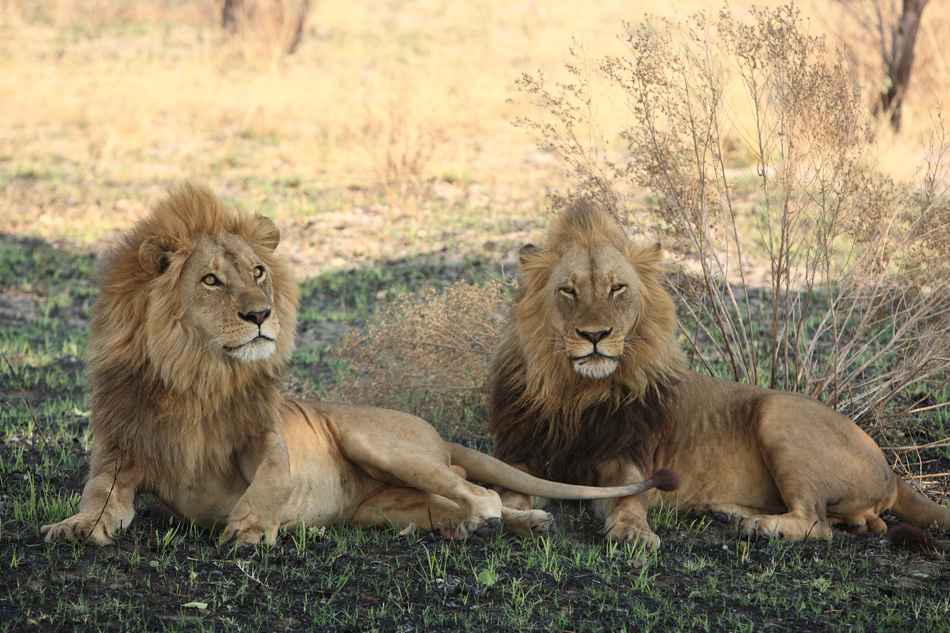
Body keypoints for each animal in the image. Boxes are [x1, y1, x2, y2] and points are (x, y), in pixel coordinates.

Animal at [40, 185, 677, 547]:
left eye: (258, 272)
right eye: (211, 280)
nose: (261, 315)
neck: (195, 375)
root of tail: (435, 435)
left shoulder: (266, 440)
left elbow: (272, 479)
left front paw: (250, 527)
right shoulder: (120, 454)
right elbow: (99, 497)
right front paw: (75, 527)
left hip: (378, 443)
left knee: (481, 492)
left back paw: (491, 522)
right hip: (385, 508)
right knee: (469, 499)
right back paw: (502, 524)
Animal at [488, 199, 950, 547]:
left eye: (618, 289)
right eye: (568, 290)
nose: (595, 335)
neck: (576, 392)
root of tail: (891, 468)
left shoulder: (628, 459)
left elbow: (629, 503)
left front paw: (635, 532)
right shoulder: (522, 455)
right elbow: (501, 492)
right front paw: (514, 517)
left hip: (779, 415)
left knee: (818, 523)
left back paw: (760, 526)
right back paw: (727, 512)